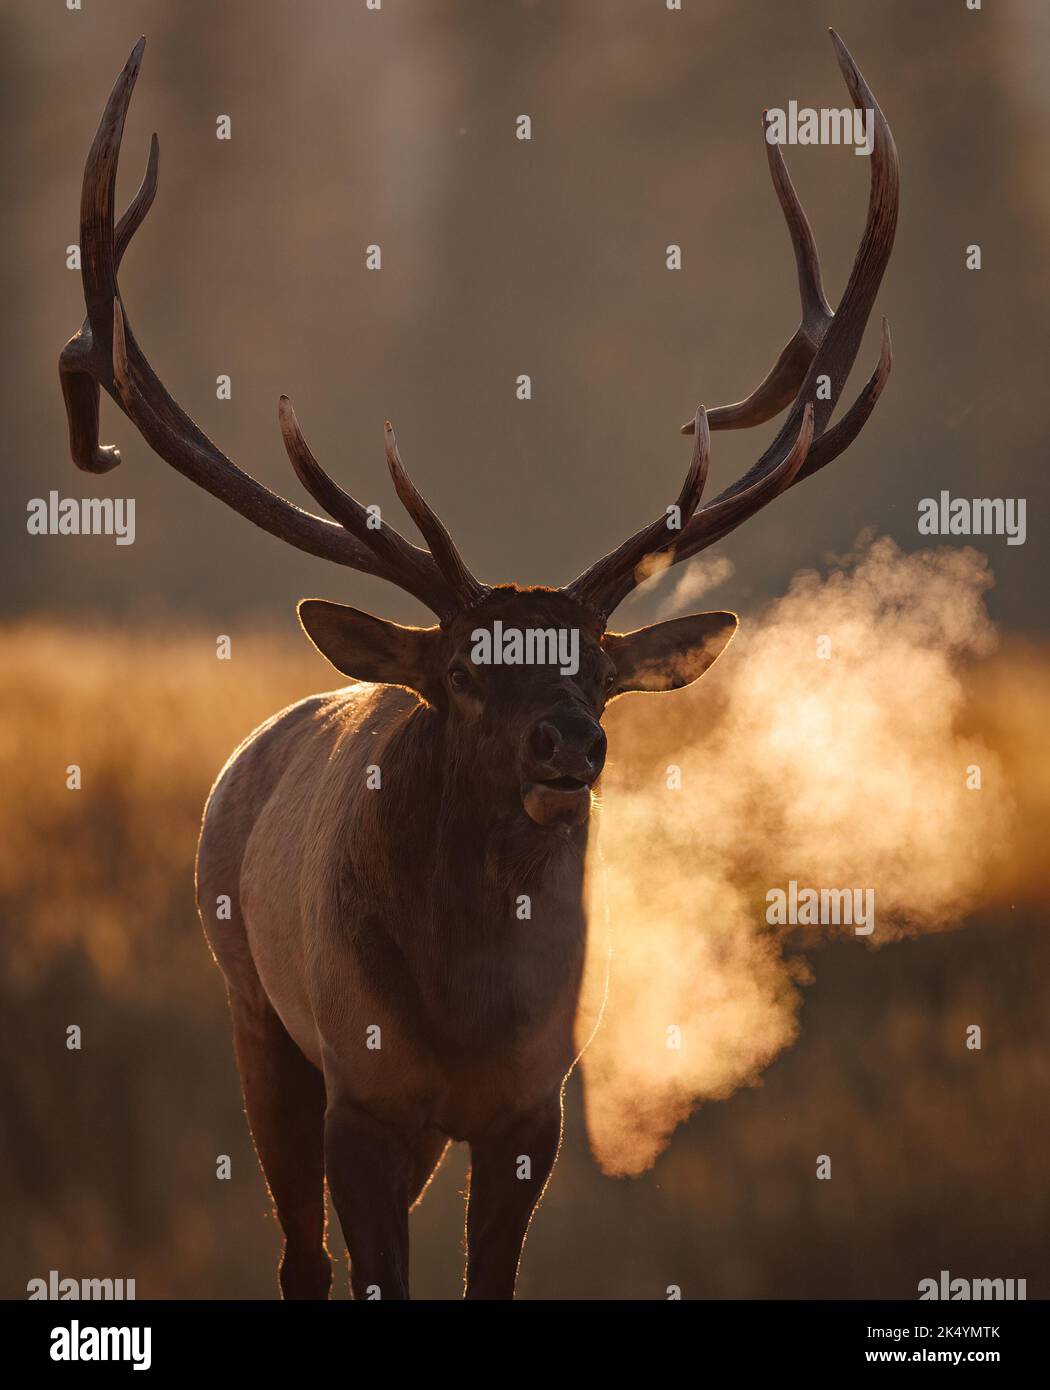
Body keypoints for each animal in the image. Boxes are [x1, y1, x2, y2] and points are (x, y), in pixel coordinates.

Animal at [58, 32, 897, 1299]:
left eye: (596, 668)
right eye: (460, 668)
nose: (570, 744)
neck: (465, 1014)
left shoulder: (531, 1109)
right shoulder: (363, 1095)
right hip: (254, 1010)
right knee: (299, 1255)